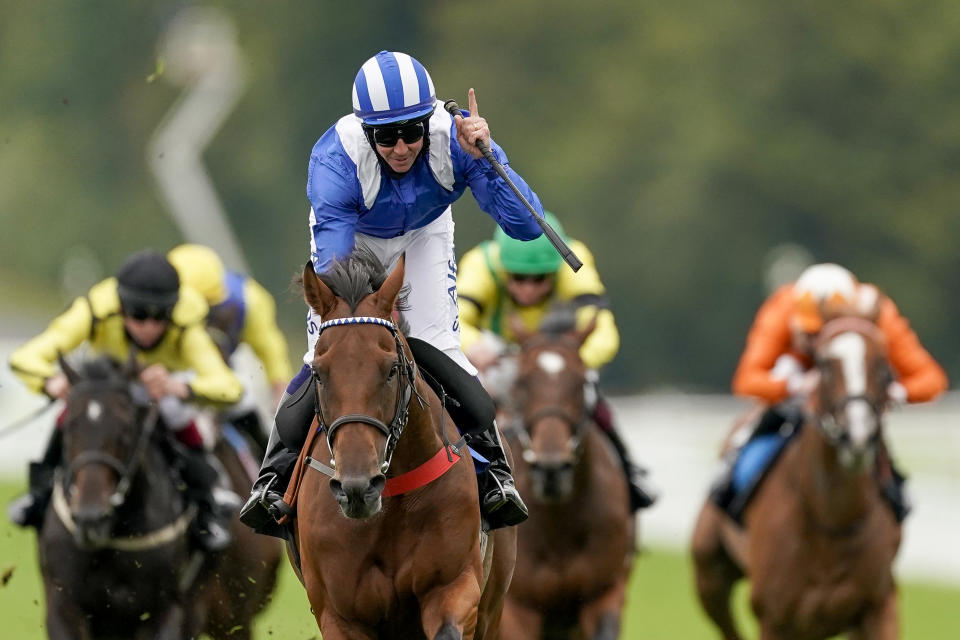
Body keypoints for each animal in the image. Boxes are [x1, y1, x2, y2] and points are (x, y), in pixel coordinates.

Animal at [40, 356, 278, 640]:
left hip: (234, 613)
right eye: (69, 428)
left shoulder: (166, 609)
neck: (117, 533)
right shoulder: (63, 604)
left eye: (126, 428)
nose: (90, 518)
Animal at [292, 252, 516, 640]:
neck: (391, 501)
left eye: (391, 369)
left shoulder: (454, 587)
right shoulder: (339, 615)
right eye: (318, 373)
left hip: (493, 604)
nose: (357, 488)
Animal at [498, 308, 632, 636]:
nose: (552, 470)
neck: (558, 524)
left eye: (581, 382)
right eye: (522, 383)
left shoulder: (605, 591)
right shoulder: (518, 608)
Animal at [692, 318, 904, 640]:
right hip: (709, 575)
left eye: (882, 366)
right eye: (824, 364)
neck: (832, 522)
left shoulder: (878, 607)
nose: (856, 437)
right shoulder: (774, 617)